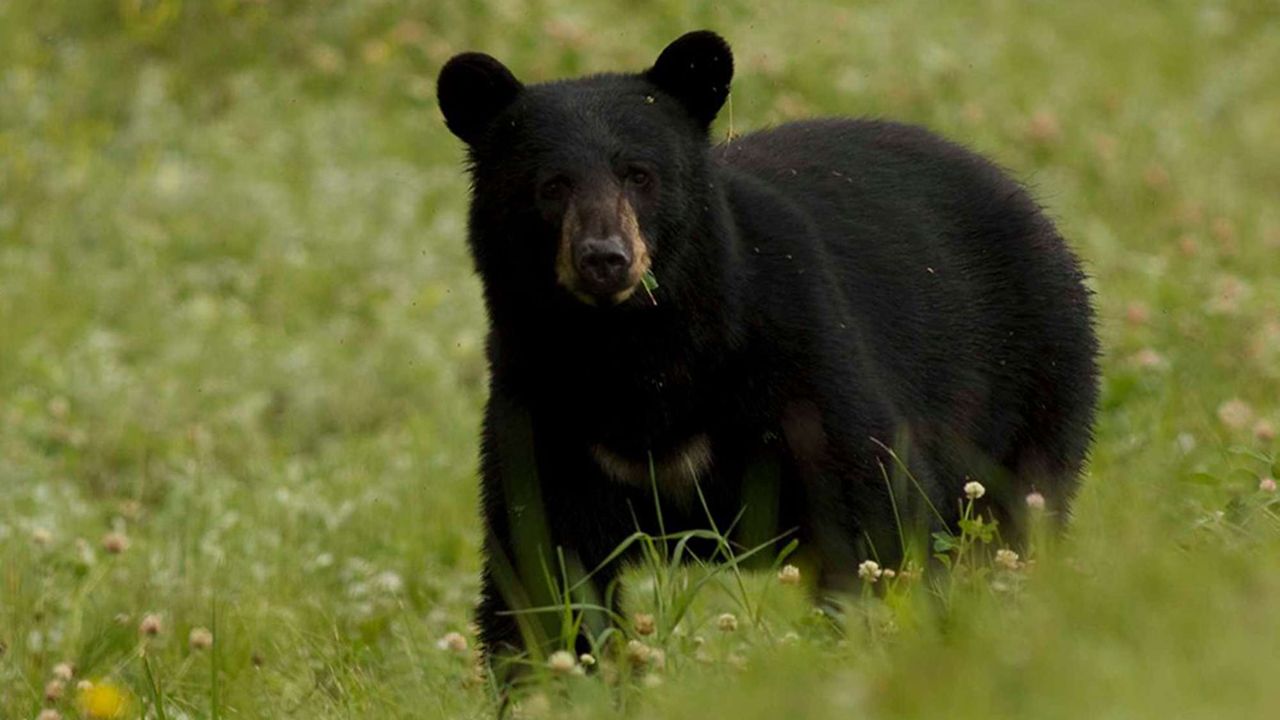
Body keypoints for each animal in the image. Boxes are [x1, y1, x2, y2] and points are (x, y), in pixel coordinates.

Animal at [436, 30, 1099, 666]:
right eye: (551, 185)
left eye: (639, 174)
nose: (604, 258)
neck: (636, 352)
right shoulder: (543, 403)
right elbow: (543, 567)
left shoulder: (796, 358)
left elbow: (875, 512)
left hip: (1030, 383)